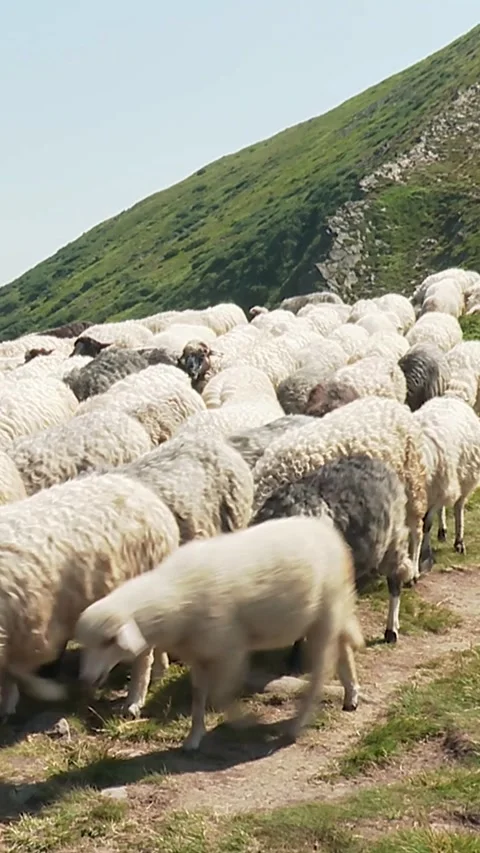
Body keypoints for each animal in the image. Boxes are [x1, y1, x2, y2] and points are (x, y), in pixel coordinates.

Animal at [74, 515, 364, 750]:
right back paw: (351, 695)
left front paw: (242, 721)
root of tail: (329, 532)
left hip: (324, 617)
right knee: (344, 652)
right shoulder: (199, 654)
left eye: (108, 641)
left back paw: (297, 724)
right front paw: (194, 737)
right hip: (328, 616)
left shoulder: (230, 651)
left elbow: (220, 696)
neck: (172, 598)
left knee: (320, 673)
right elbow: (199, 695)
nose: (84, 679)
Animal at [413, 397, 480, 566]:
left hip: (464, 479)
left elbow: (426, 525)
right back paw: (442, 531)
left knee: (458, 506)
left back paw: (459, 542)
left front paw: (424, 554)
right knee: (442, 508)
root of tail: (450, 398)